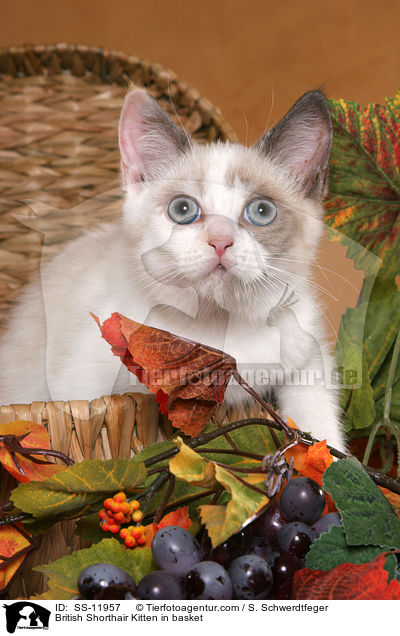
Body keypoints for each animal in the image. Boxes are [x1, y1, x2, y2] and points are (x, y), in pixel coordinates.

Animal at [0, 87, 346, 452]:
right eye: (182, 209)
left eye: (262, 211)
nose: (220, 241)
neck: (218, 325)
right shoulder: (82, 385)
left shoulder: (307, 348)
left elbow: (316, 409)